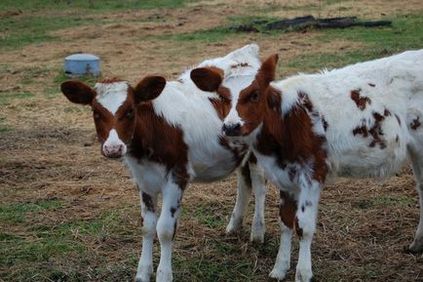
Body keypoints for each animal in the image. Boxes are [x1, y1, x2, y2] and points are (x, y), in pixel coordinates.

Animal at [60, 44, 268, 282]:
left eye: (130, 111)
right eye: (96, 112)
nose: (113, 148)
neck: (153, 132)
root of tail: (245, 51)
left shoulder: (177, 176)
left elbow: (165, 230)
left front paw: (163, 275)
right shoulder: (143, 180)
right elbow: (147, 227)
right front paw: (142, 273)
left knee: (259, 184)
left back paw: (258, 232)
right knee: (244, 181)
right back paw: (234, 225)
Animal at [192, 49, 423, 280]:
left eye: (255, 94)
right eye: (222, 96)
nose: (231, 126)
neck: (287, 121)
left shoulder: (313, 174)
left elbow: (303, 226)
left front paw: (303, 273)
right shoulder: (284, 176)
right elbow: (285, 221)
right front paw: (280, 268)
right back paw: (417, 243)